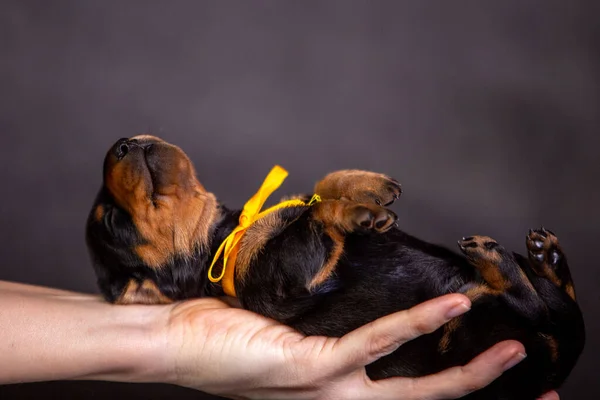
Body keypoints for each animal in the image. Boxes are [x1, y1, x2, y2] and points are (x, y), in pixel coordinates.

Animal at [86, 136, 584, 398]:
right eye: (113, 222)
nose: (121, 144)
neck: (226, 236)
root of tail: (553, 370)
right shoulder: (288, 273)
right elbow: (316, 214)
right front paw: (356, 212)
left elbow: (320, 187)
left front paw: (367, 187)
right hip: (470, 328)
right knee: (534, 308)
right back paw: (492, 256)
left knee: (562, 307)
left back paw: (547, 257)